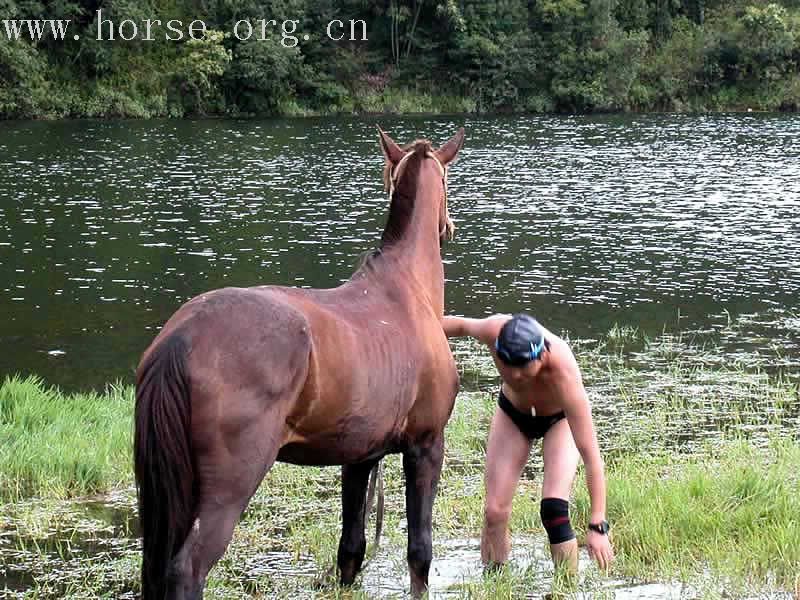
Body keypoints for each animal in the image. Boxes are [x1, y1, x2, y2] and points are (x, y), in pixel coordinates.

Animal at [134, 125, 466, 596]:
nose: (448, 227)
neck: (407, 291)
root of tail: (180, 336)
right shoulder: (426, 446)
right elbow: (419, 552)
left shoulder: (360, 456)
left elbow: (351, 548)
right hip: (228, 488)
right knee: (188, 568)